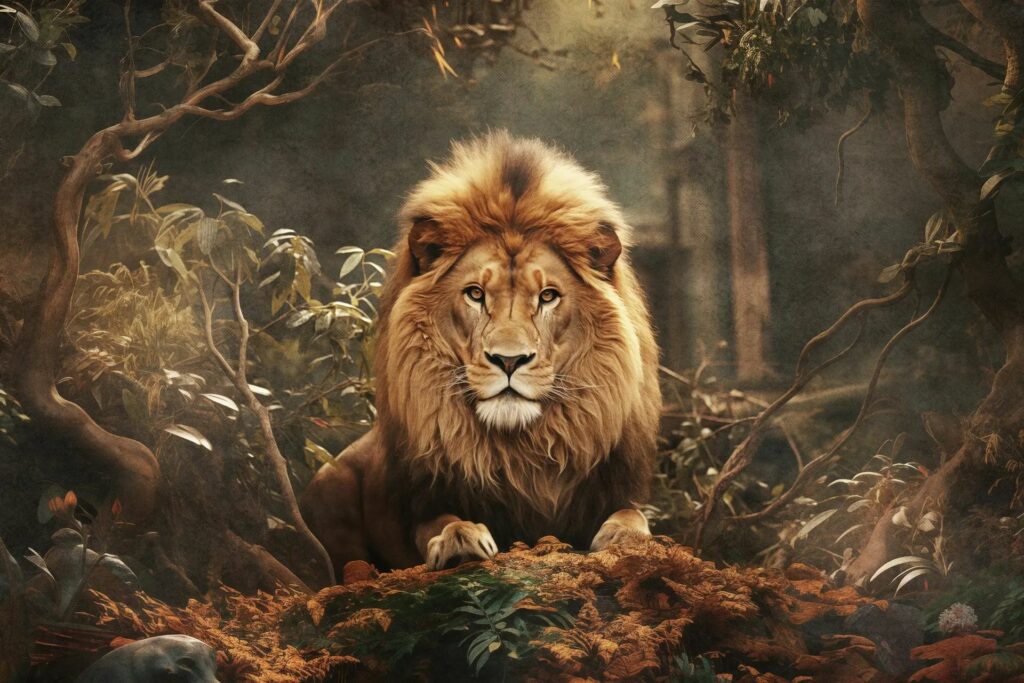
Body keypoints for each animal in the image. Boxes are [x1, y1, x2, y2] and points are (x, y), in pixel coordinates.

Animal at [300, 132, 662, 576]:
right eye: (475, 294)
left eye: (548, 296)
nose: (508, 361)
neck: (519, 451)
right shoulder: (424, 504)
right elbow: (442, 521)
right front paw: (460, 539)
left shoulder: (613, 491)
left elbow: (633, 513)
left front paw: (626, 538)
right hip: (328, 487)